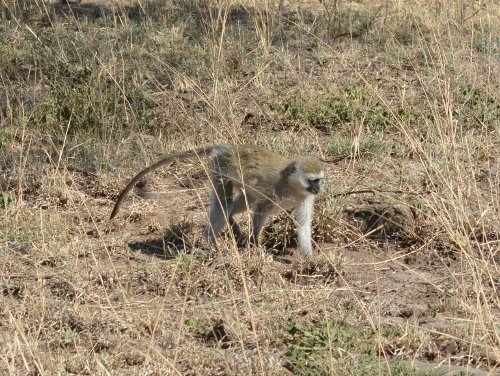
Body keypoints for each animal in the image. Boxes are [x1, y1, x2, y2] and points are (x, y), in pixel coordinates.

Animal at [110, 144, 324, 256]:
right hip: (221, 170)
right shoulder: (274, 193)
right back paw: (212, 244)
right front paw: (254, 243)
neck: (293, 185)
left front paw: (309, 258)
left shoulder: (306, 198)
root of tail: (227, 149)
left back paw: (229, 225)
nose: (318, 189)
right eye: (312, 180)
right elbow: (260, 212)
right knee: (223, 206)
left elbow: (304, 225)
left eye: (319, 180)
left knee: (239, 202)